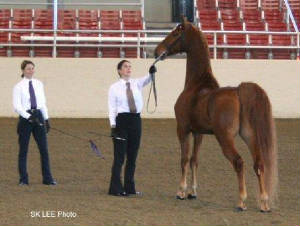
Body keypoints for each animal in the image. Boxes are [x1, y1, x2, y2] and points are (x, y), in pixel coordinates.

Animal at [155, 17, 278, 212]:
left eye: (175, 33)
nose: (157, 51)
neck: (196, 84)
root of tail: (238, 92)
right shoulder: (198, 133)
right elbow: (194, 160)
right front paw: (193, 192)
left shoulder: (182, 129)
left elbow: (184, 159)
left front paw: (181, 191)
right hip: (249, 135)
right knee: (258, 164)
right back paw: (264, 202)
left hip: (225, 138)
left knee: (239, 162)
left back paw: (241, 201)